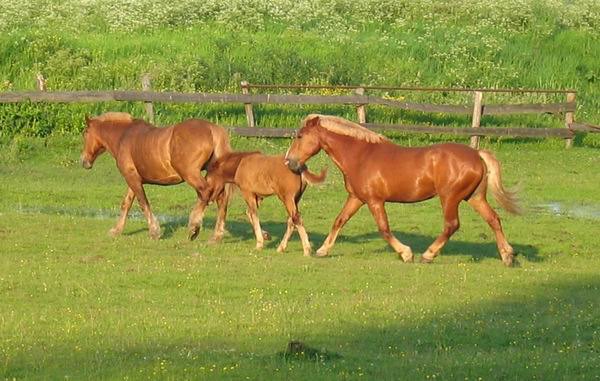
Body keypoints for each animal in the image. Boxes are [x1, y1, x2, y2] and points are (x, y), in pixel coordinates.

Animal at [83, 111, 233, 240]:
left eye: (85, 133)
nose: (84, 161)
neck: (123, 136)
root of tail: (213, 129)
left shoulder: (131, 178)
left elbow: (143, 202)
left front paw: (154, 231)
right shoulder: (133, 179)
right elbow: (126, 203)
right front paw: (116, 230)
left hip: (191, 174)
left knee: (206, 192)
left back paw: (193, 227)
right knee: (221, 198)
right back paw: (216, 235)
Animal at [286, 114, 520, 266]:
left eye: (300, 136)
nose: (289, 162)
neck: (361, 156)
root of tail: (477, 155)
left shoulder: (374, 201)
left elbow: (384, 229)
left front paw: (406, 253)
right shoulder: (356, 198)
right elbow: (339, 221)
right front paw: (322, 250)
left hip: (450, 198)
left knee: (451, 225)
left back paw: (428, 255)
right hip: (474, 197)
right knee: (494, 219)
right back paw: (508, 255)